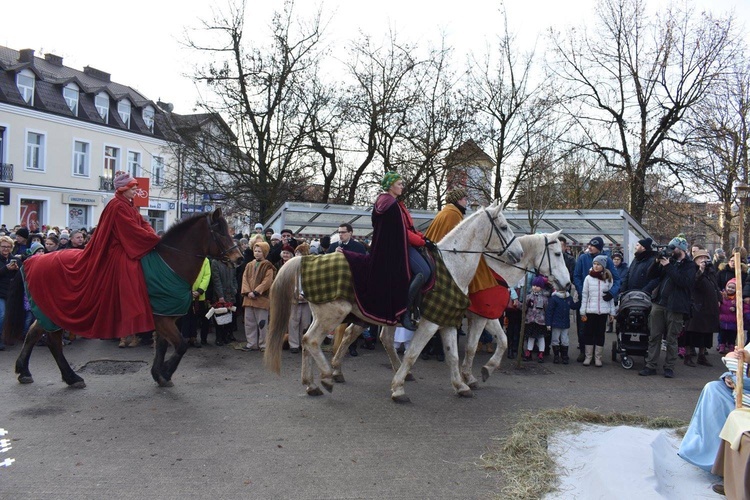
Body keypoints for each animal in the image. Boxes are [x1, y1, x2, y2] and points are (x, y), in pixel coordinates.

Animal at [2, 209, 242, 388]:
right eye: (220, 231)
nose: (238, 258)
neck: (170, 263)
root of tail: (31, 260)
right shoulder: (162, 318)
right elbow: (181, 345)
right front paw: (166, 372)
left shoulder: (164, 316)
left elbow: (162, 346)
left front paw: (159, 373)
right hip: (55, 311)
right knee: (51, 341)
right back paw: (69, 376)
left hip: (49, 311)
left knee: (34, 334)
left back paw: (29, 371)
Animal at [264, 201, 524, 400]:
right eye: (503, 227)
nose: (519, 254)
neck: (453, 266)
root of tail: (307, 260)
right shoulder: (432, 323)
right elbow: (414, 353)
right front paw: (398, 388)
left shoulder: (447, 321)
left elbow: (453, 355)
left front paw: (461, 385)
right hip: (333, 314)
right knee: (311, 340)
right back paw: (327, 377)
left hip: (335, 315)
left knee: (314, 341)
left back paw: (313, 383)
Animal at [376, 232, 568, 388]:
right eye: (558, 254)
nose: (567, 284)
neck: (496, 274)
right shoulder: (480, 317)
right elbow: (472, 347)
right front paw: (470, 376)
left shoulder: (487, 317)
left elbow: (503, 340)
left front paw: (486, 369)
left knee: (386, 338)